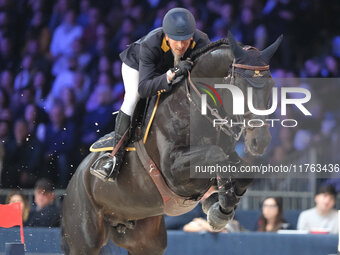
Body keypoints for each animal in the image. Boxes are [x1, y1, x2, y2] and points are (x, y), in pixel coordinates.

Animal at [61, 32, 282, 255]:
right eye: (241, 88)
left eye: (271, 86)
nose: (260, 142)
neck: (196, 105)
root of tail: (76, 177)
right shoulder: (173, 171)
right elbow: (215, 155)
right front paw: (219, 210)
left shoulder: (229, 154)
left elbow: (245, 172)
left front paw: (218, 205)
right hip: (84, 240)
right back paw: (107, 166)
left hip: (146, 241)